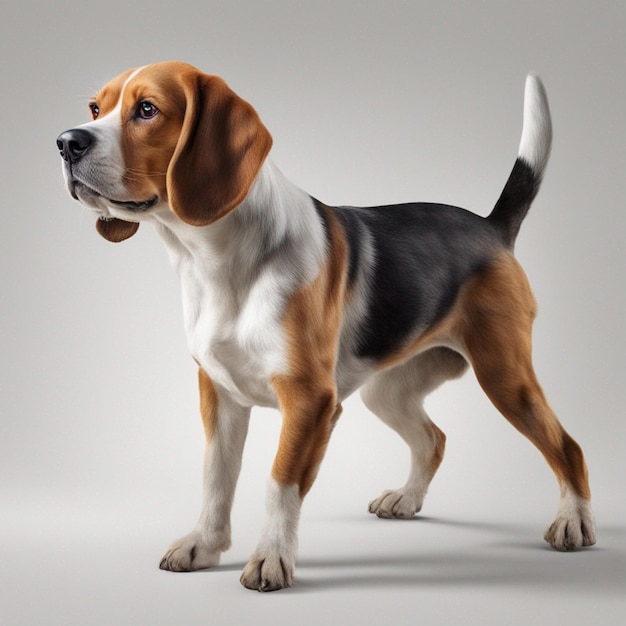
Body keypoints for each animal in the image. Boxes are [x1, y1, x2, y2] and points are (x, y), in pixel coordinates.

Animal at [56, 62, 592, 588]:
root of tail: (489, 226)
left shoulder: (309, 400)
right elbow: (215, 478)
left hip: (504, 378)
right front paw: (203, 545)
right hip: (387, 391)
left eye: (147, 109)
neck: (218, 263)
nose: (66, 142)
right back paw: (407, 498)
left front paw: (271, 558)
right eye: (96, 108)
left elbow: (280, 482)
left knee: (567, 446)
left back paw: (574, 522)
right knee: (434, 439)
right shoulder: (220, 393)